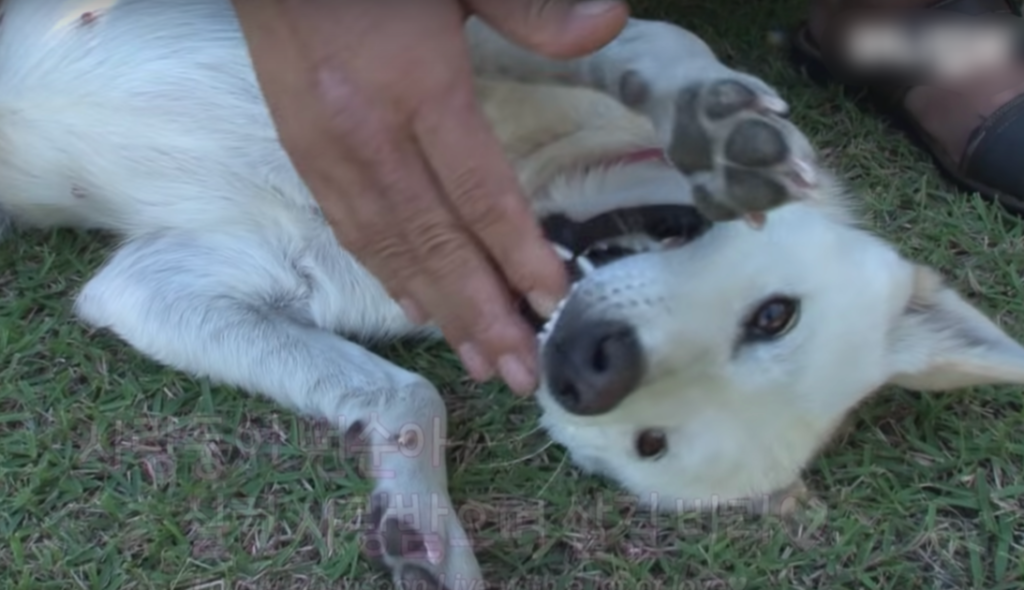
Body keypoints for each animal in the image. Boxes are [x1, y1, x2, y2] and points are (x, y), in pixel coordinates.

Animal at [2, 1, 1024, 590]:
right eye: (774, 316)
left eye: (651, 445)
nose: (588, 366)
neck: (540, 195)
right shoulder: (435, 45)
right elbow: (643, 38)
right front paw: (709, 110)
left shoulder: (158, 286)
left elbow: (408, 394)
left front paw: (419, 526)